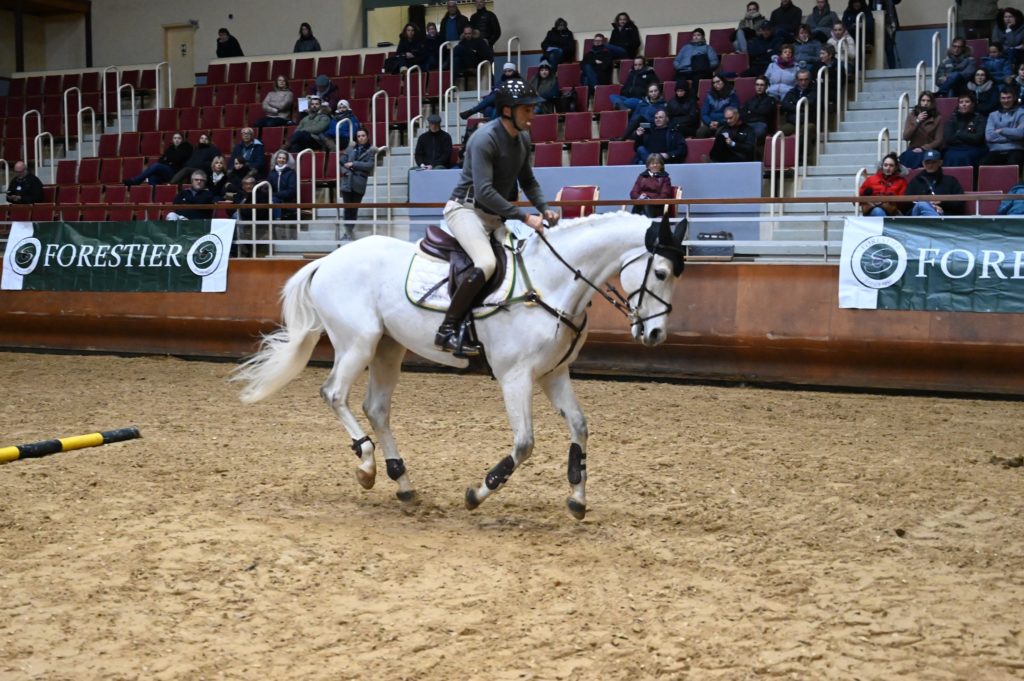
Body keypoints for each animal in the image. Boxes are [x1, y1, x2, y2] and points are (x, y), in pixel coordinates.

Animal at [234, 209, 684, 518]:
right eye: (661, 272)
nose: (655, 335)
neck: (550, 283)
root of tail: (326, 260)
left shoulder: (553, 374)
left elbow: (580, 426)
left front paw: (576, 497)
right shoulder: (515, 377)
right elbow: (524, 443)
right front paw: (478, 492)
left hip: (387, 348)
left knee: (375, 408)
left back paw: (402, 483)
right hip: (357, 344)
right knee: (334, 394)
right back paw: (366, 465)